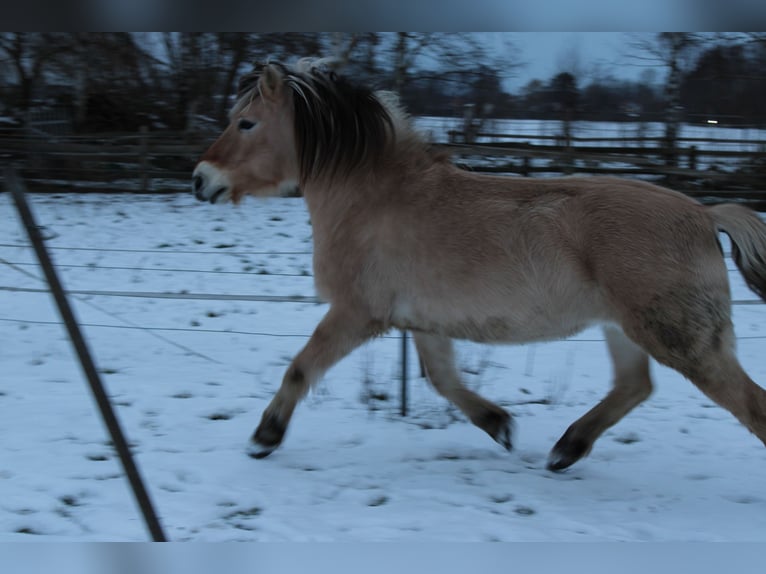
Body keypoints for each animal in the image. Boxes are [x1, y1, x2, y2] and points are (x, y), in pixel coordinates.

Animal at [192, 59, 766, 471]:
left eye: (246, 122)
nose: (201, 179)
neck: (372, 199)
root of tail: (705, 213)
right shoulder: (421, 321)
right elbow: (443, 379)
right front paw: (500, 425)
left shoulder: (357, 313)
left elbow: (301, 367)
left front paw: (264, 438)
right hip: (623, 329)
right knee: (634, 386)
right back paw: (565, 450)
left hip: (682, 340)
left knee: (749, 404)